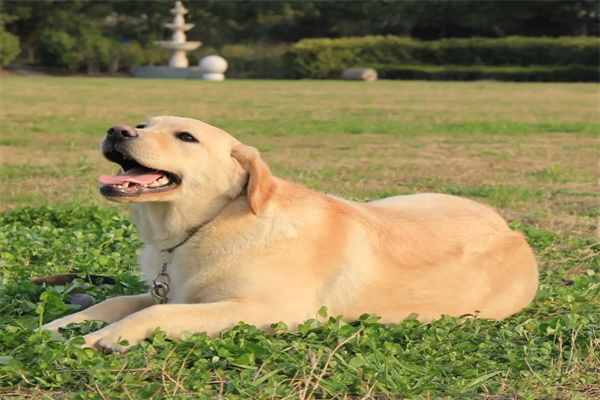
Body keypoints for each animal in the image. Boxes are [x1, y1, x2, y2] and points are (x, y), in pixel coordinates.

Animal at [41, 116, 540, 354]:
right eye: (144, 124)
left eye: (186, 137)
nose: (117, 129)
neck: (209, 224)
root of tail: (512, 231)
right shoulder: (171, 288)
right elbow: (115, 302)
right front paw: (59, 325)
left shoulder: (268, 311)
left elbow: (154, 313)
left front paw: (99, 338)